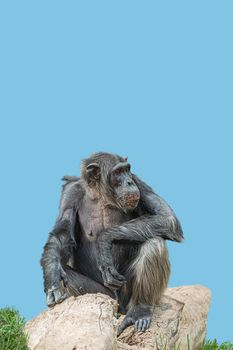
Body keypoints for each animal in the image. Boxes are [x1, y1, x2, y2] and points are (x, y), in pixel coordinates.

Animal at [41, 152, 184, 334]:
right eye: (118, 172)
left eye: (127, 170)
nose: (128, 182)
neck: (100, 194)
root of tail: (120, 309)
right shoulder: (70, 193)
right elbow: (62, 235)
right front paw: (51, 274)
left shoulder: (139, 181)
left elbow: (167, 218)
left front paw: (103, 241)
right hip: (103, 296)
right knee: (66, 273)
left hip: (126, 296)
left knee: (154, 242)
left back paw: (140, 310)